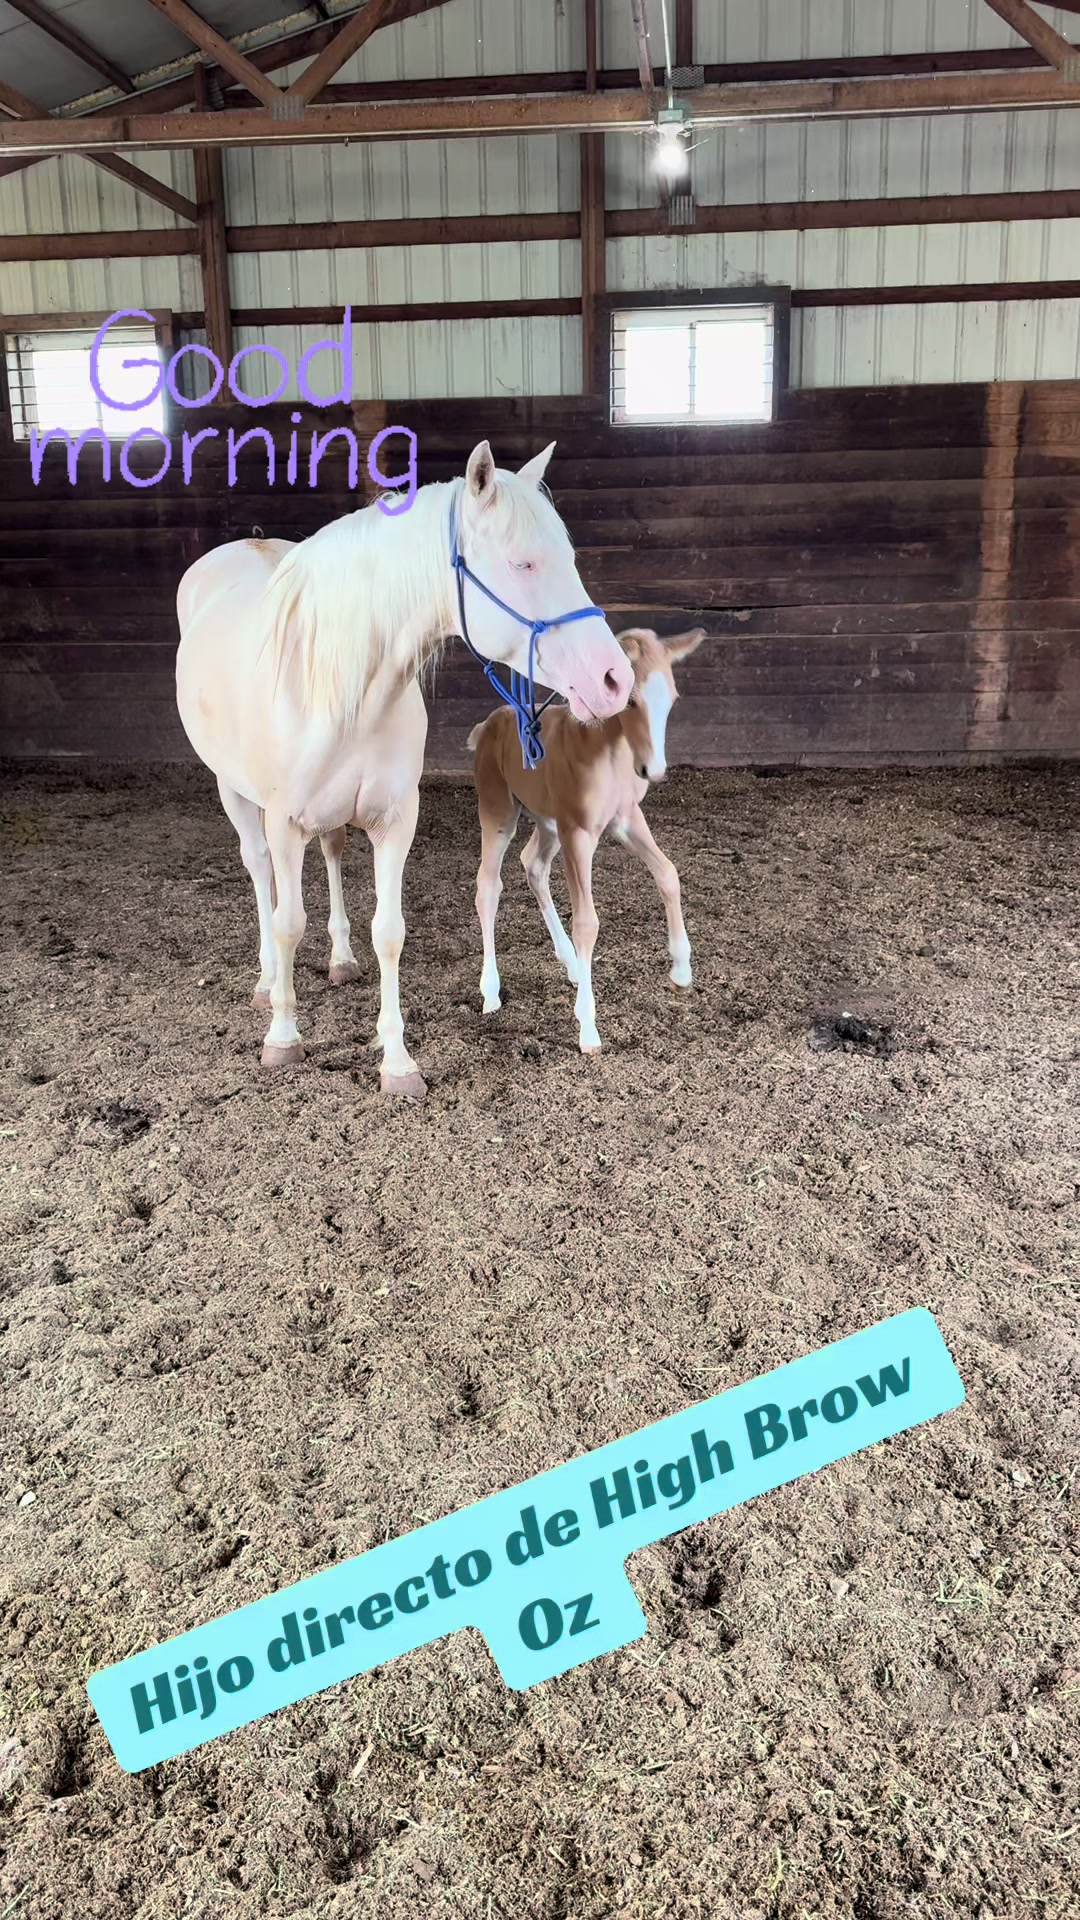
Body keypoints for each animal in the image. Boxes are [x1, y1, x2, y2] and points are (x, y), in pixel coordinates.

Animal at [174, 440, 634, 1096]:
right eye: (522, 564)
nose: (615, 680)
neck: (341, 685)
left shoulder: (395, 821)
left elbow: (389, 932)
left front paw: (396, 1061)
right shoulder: (283, 822)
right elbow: (288, 921)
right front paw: (283, 1038)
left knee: (333, 852)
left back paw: (340, 960)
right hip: (235, 794)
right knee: (259, 873)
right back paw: (267, 983)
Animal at [466, 625, 706, 1054]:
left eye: (673, 698)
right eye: (631, 700)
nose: (654, 770)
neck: (607, 752)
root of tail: (487, 725)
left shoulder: (627, 820)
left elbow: (668, 874)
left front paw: (681, 970)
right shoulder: (578, 834)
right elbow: (587, 922)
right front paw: (588, 1029)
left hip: (547, 824)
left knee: (533, 865)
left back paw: (571, 963)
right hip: (499, 814)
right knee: (488, 887)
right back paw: (491, 993)